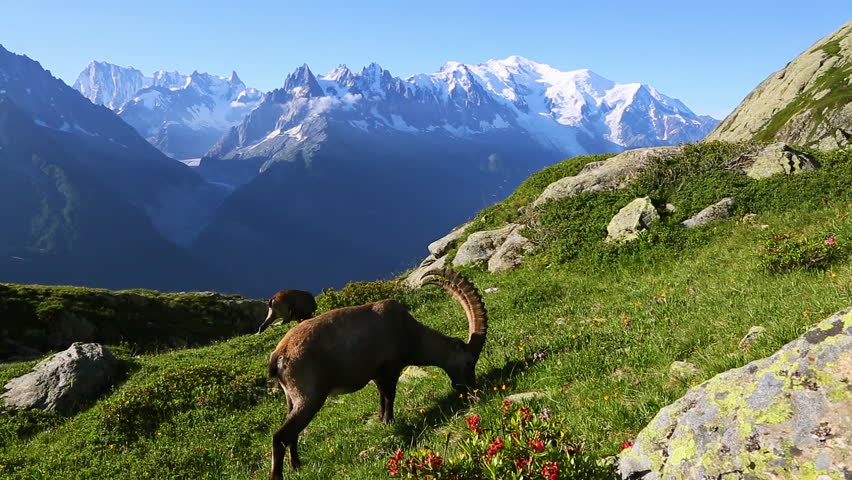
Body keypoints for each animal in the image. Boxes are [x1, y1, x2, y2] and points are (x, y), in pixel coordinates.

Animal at [266, 268, 487, 479]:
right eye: (469, 362)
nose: (470, 389)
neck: (409, 332)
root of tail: (279, 354)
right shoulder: (391, 369)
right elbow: (390, 395)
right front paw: (389, 421)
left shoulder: (377, 374)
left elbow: (381, 396)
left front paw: (381, 418)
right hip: (310, 397)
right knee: (280, 436)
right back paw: (278, 474)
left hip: (291, 397)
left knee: (292, 434)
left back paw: (296, 465)